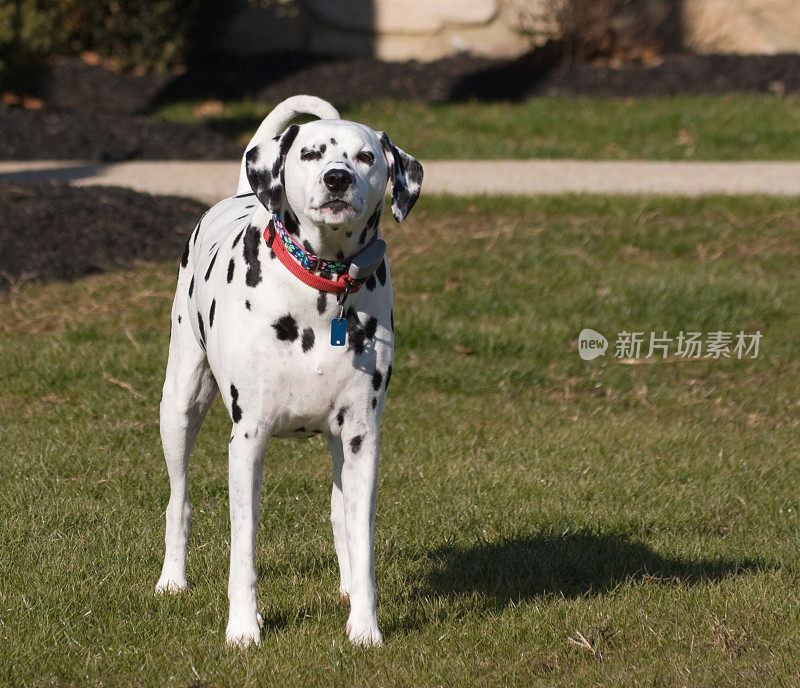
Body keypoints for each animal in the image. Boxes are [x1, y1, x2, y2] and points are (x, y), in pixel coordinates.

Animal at [152, 94, 422, 648]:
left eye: (366, 157)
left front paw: (365, 627)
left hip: (339, 447)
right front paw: (242, 628)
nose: (337, 178)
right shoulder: (247, 441)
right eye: (311, 153)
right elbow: (243, 551)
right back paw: (172, 579)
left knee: (340, 515)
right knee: (179, 499)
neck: (321, 293)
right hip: (180, 407)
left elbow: (361, 540)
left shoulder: (362, 438)